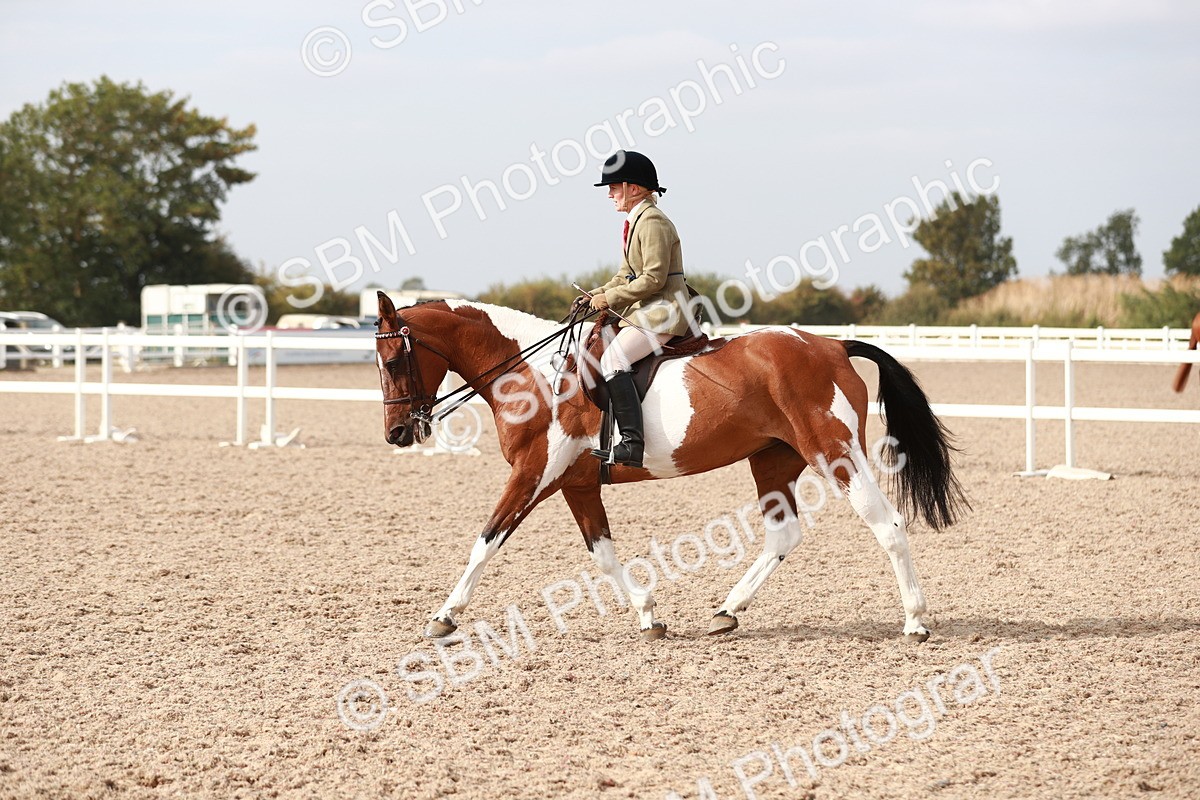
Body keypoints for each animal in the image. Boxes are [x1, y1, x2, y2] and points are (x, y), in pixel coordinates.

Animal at [374, 292, 967, 642]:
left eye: (393, 359)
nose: (399, 434)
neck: (534, 374)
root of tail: (832, 346)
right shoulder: (576, 485)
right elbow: (602, 554)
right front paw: (648, 614)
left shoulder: (532, 475)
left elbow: (486, 540)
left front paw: (443, 616)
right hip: (773, 460)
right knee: (783, 535)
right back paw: (727, 611)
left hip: (836, 453)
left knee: (886, 525)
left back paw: (915, 621)